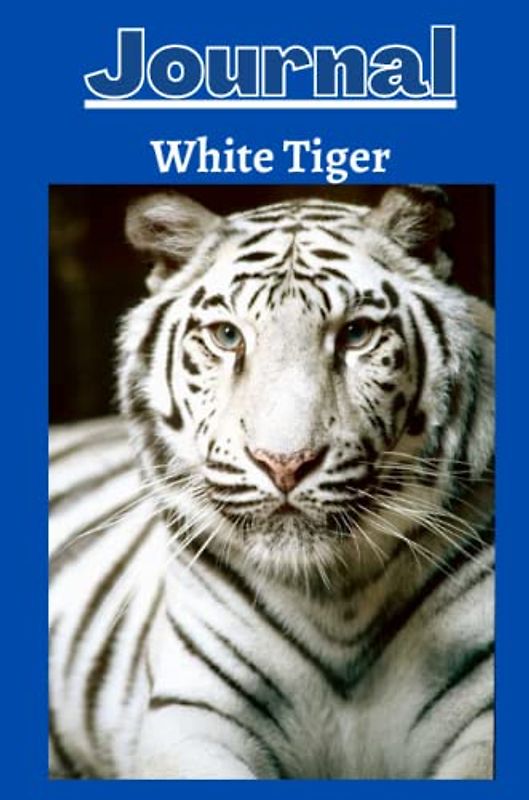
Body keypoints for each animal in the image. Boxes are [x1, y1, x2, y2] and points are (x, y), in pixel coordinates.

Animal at [49, 186, 494, 780]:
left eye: (355, 334)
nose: (284, 463)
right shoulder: (194, 716)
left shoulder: (485, 711)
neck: (336, 602)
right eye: (227, 336)